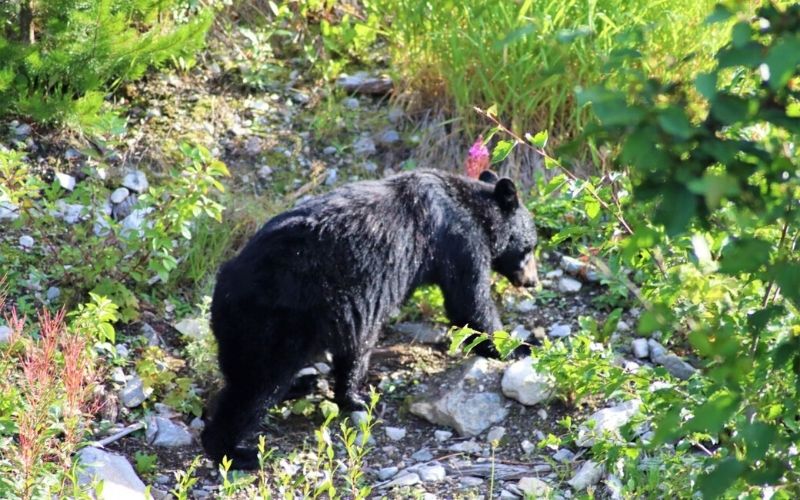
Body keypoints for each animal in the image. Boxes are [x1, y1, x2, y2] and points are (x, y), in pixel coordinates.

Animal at [200, 169, 536, 468]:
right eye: (530, 246)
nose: (532, 282)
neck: (474, 208)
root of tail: (222, 287)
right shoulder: (458, 242)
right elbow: (469, 301)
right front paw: (517, 347)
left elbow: (357, 346)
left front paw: (350, 396)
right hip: (272, 325)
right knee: (257, 386)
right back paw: (235, 452)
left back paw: (305, 382)